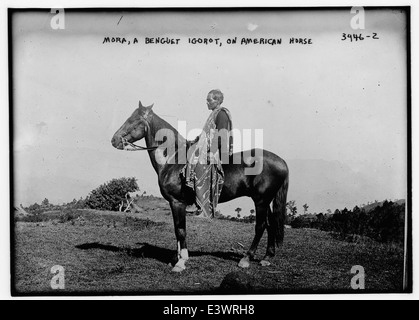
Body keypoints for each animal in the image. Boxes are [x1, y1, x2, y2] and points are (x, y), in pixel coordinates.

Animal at [110, 101, 288, 272]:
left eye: (133, 120)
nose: (114, 140)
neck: (173, 160)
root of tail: (281, 161)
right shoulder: (174, 203)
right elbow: (177, 229)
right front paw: (177, 257)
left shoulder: (177, 202)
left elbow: (181, 230)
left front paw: (181, 262)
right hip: (265, 201)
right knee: (271, 224)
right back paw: (267, 257)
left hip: (261, 201)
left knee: (261, 226)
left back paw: (246, 259)